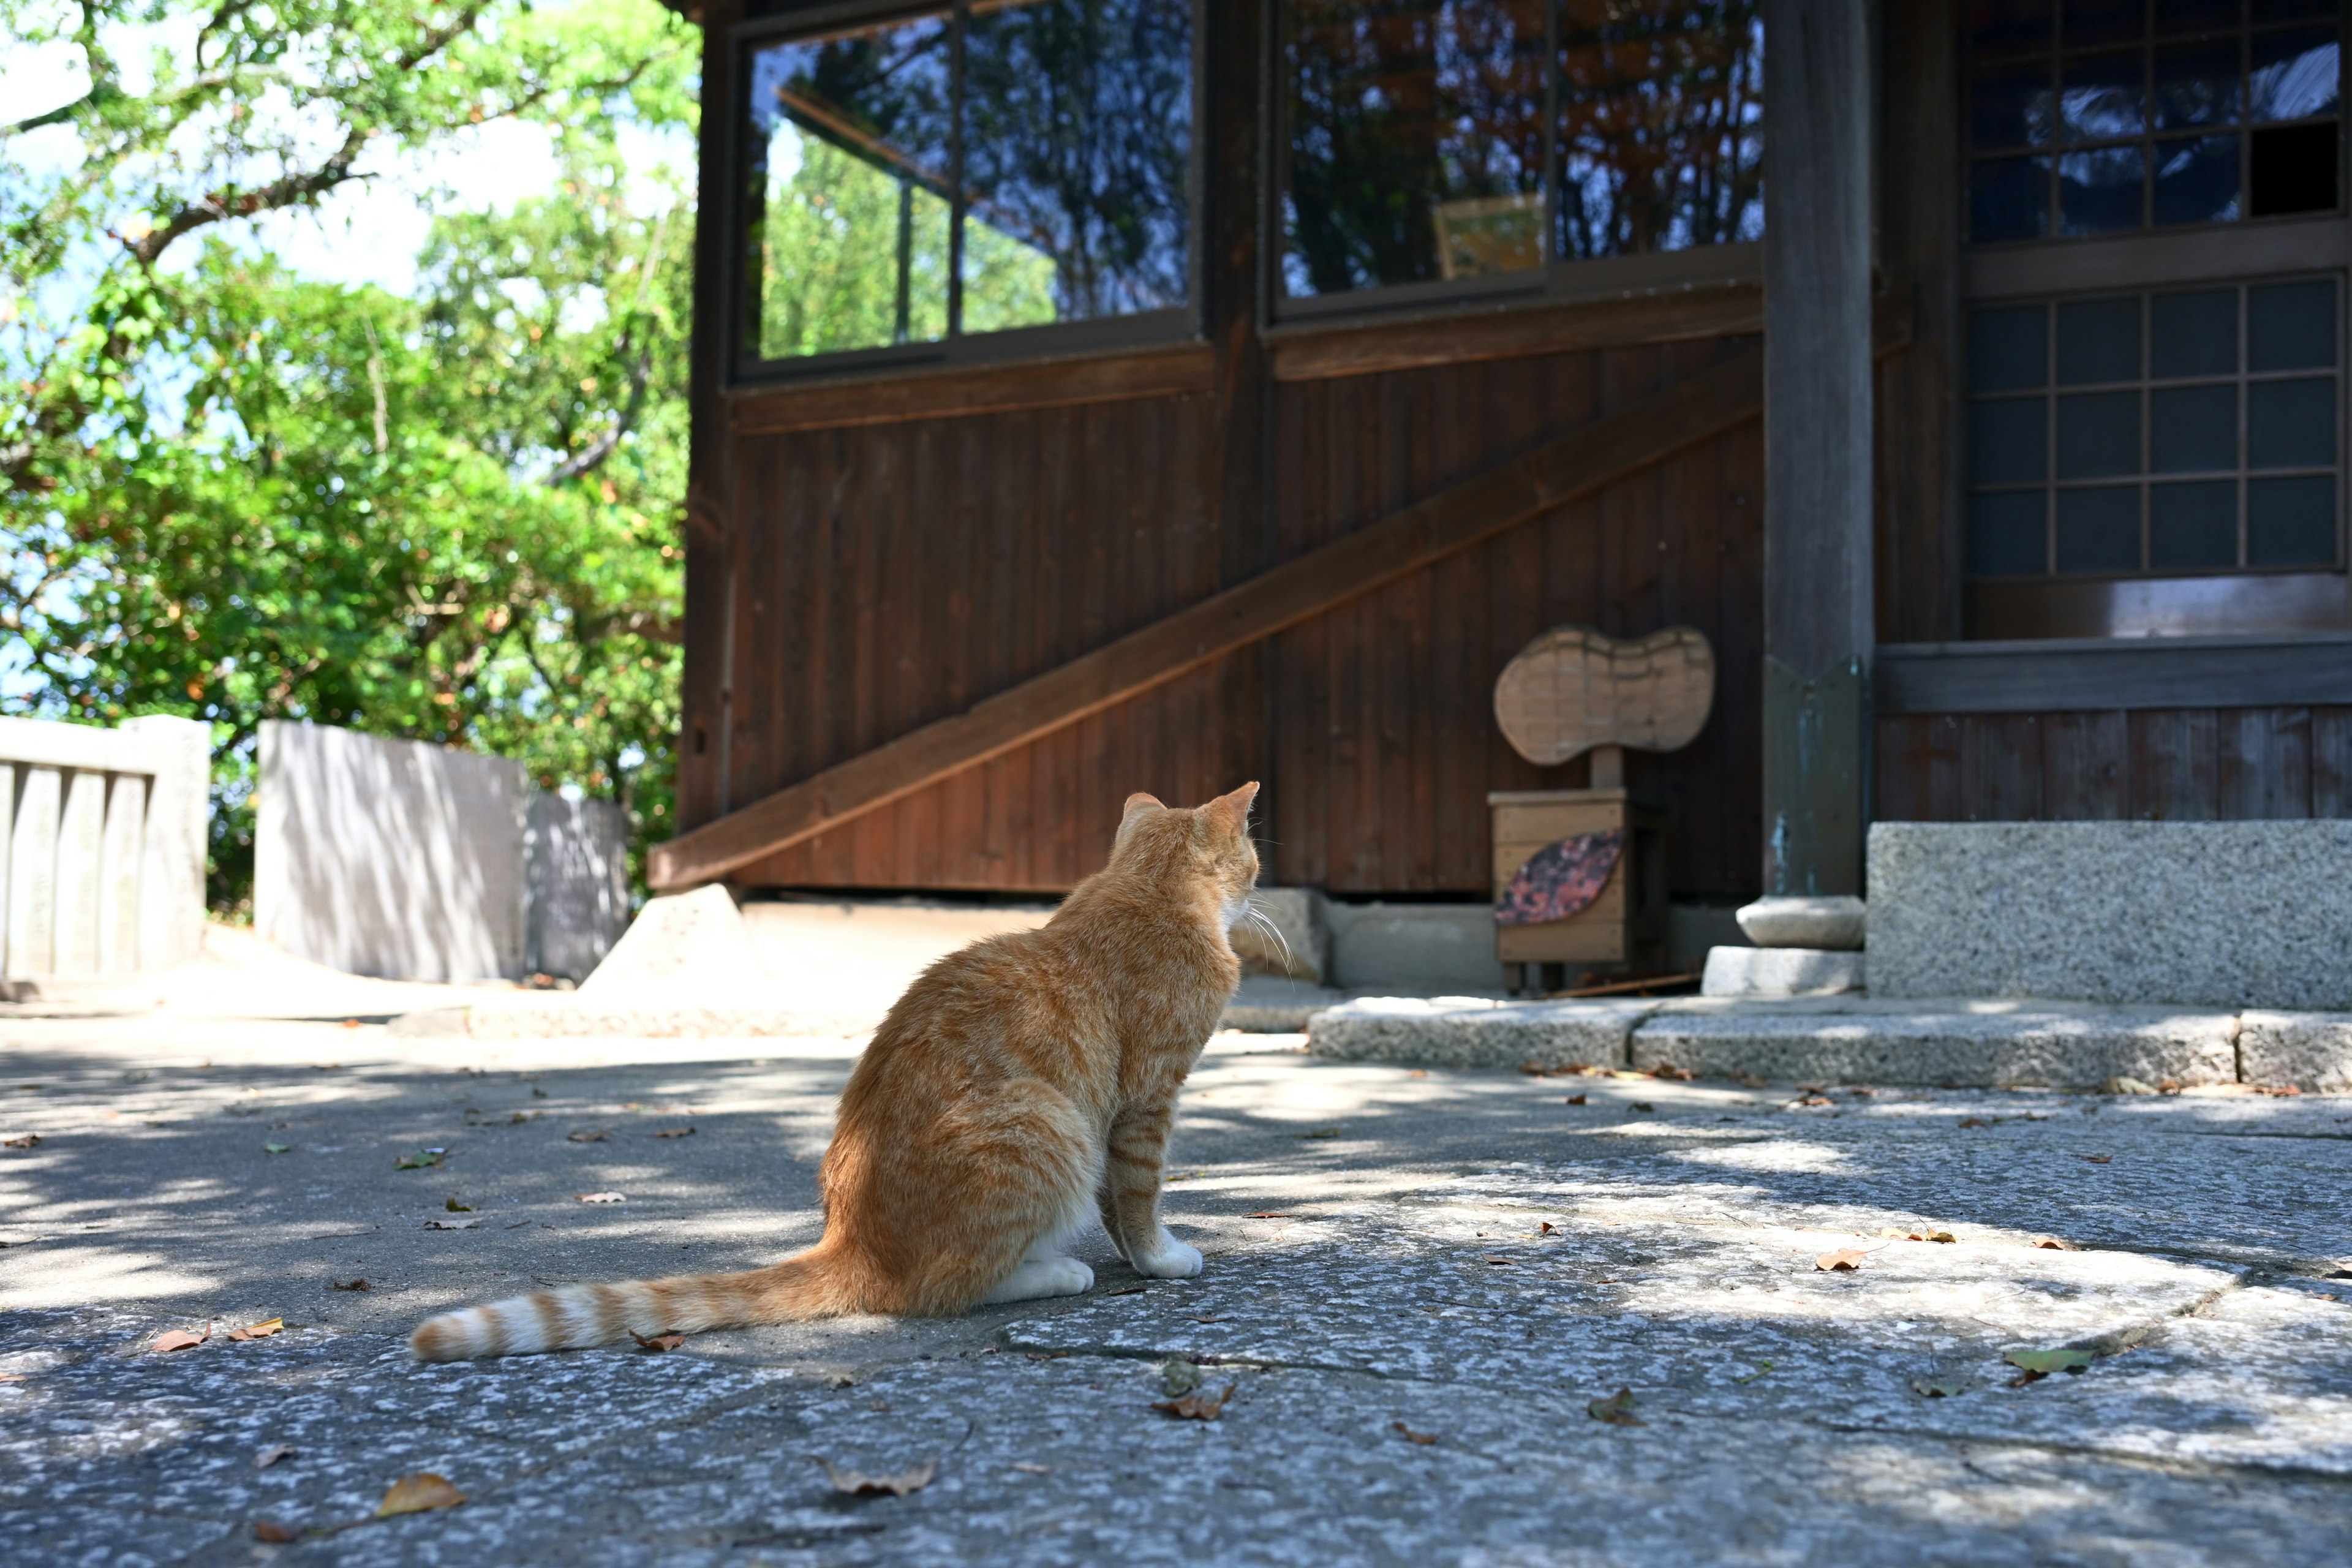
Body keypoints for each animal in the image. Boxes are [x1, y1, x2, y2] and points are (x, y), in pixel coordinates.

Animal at [413, 785, 1261, 1363]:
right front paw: (1158, 1260)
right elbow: (1139, 1197)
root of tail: (853, 1240)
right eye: (1253, 857)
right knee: (941, 1290)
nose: (1260, 886)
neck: (1143, 886)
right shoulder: (1146, 1102)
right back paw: (1052, 1272)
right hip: (1047, 1122)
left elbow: (1119, 1205)